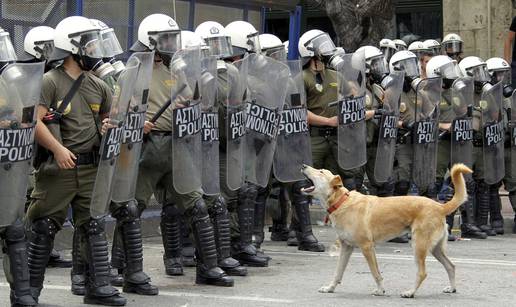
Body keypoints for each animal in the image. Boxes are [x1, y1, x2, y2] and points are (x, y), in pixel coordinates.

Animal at [300, 165, 474, 300]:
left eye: (321, 171)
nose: (303, 165)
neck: (342, 201)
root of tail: (440, 206)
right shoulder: (346, 247)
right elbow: (338, 272)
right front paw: (330, 288)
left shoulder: (367, 247)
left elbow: (375, 272)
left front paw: (380, 290)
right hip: (435, 249)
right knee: (451, 266)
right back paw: (451, 288)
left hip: (419, 246)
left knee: (423, 273)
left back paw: (410, 292)